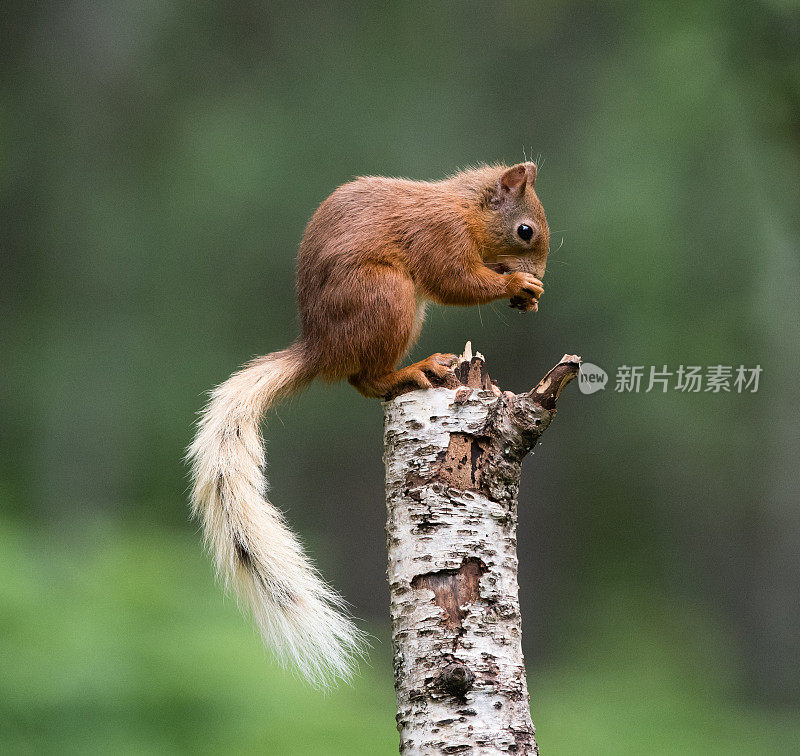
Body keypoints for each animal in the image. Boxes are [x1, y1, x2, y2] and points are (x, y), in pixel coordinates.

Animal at [188, 164, 552, 684]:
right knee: (364, 378)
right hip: (386, 295)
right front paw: (518, 285)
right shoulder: (440, 238)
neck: (464, 208)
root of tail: (320, 350)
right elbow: (457, 281)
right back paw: (414, 370)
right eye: (525, 231)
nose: (538, 277)